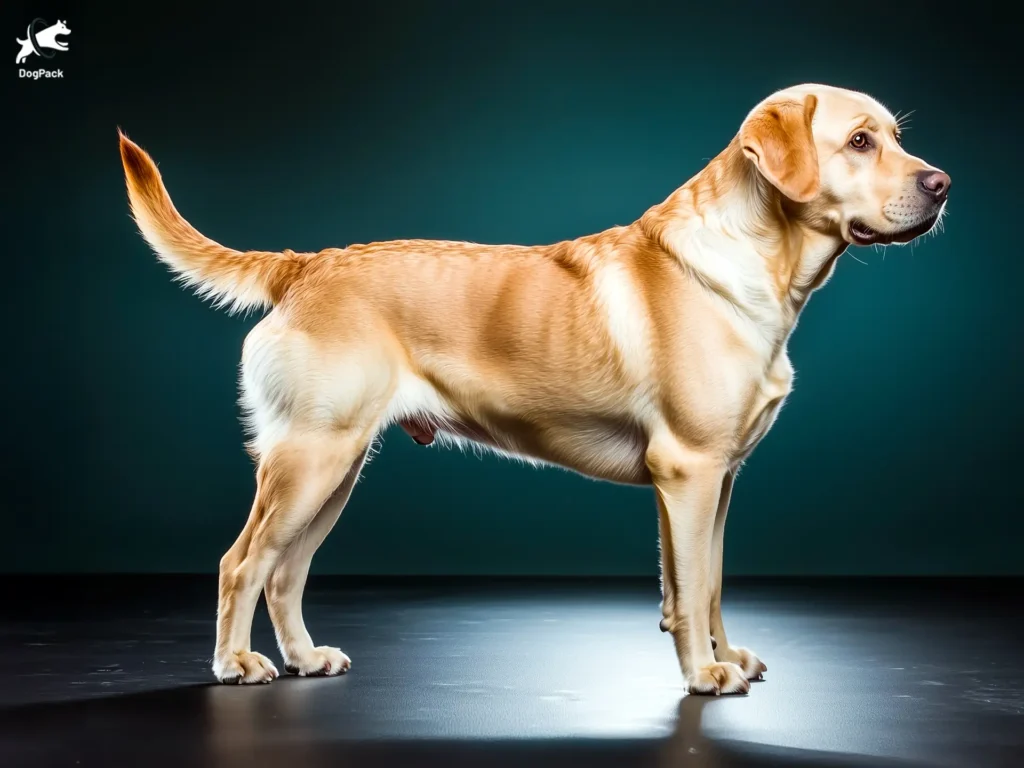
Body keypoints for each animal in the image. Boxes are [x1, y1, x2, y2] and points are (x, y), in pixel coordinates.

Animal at [119, 83, 950, 696]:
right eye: (860, 142)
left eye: (895, 136)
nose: (941, 184)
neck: (759, 260)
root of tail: (306, 264)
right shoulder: (688, 470)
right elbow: (691, 591)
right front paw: (703, 673)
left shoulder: (720, 480)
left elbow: (706, 586)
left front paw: (726, 654)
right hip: (309, 461)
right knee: (241, 564)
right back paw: (237, 663)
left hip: (339, 468)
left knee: (285, 573)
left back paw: (304, 658)